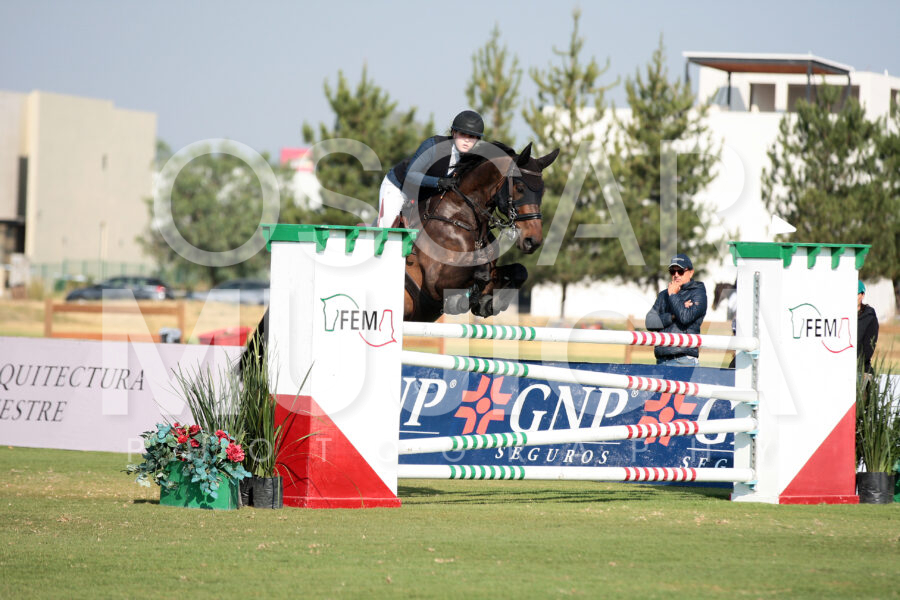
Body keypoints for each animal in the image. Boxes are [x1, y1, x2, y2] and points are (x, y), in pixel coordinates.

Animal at [403, 141, 559, 322]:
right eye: (520, 188)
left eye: (543, 192)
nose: (533, 241)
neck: (462, 216)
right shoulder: (434, 281)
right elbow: (481, 273)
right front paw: (463, 300)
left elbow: (519, 271)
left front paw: (490, 304)